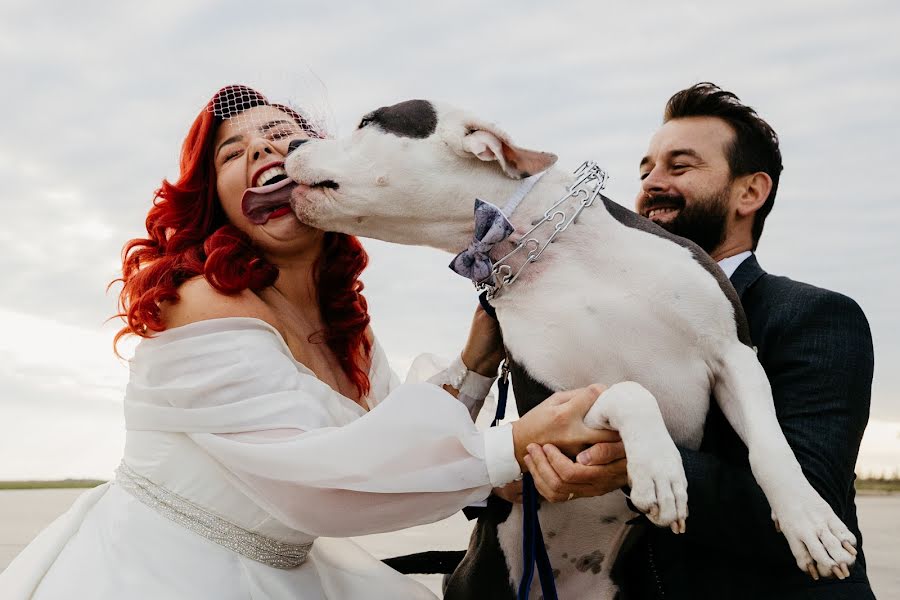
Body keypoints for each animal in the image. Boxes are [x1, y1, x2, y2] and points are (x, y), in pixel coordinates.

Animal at [274, 101, 856, 596]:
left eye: (368, 121)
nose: (293, 142)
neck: (558, 252)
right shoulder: (560, 401)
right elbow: (630, 391)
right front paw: (660, 470)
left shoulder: (734, 355)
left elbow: (772, 447)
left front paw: (812, 523)